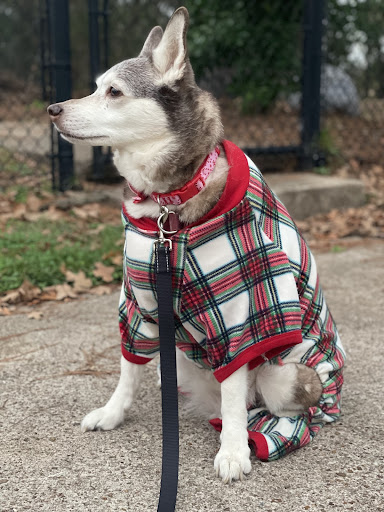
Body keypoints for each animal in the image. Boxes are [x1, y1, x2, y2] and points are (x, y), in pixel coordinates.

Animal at [48, 6, 344, 482]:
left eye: (114, 91)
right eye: (95, 86)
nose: (52, 109)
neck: (168, 211)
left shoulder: (243, 313)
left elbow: (236, 382)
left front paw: (234, 450)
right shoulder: (139, 300)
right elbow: (128, 369)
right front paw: (112, 412)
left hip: (288, 375)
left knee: (272, 403)